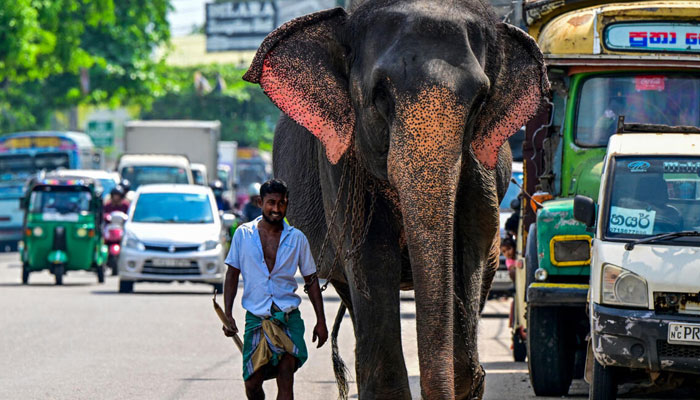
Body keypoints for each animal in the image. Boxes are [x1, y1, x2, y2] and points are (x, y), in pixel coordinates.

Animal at [242, 0, 549, 398]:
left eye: (480, 100)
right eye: (380, 95)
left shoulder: (481, 169)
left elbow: (471, 250)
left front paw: (465, 377)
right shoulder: (342, 165)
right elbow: (372, 257)